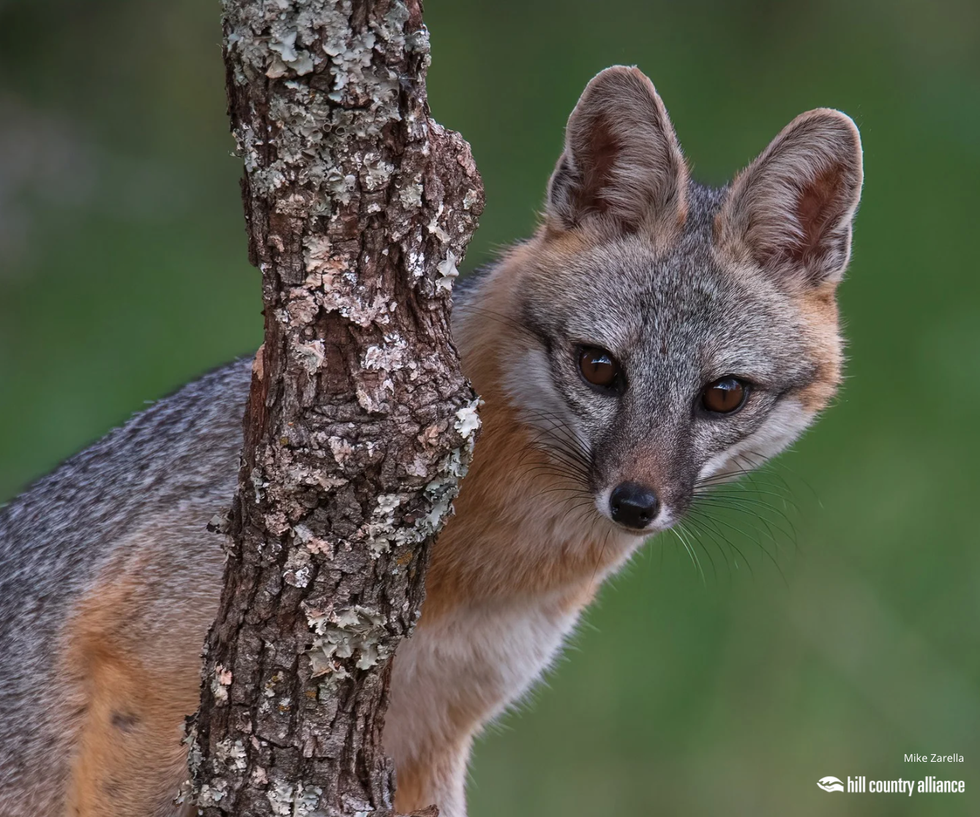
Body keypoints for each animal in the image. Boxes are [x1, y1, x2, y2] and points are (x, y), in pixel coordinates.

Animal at [0, 66, 862, 817]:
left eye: (723, 394)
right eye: (600, 367)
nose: (635, 501)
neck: (490, 579)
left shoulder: (435, 736)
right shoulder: (150, 670)